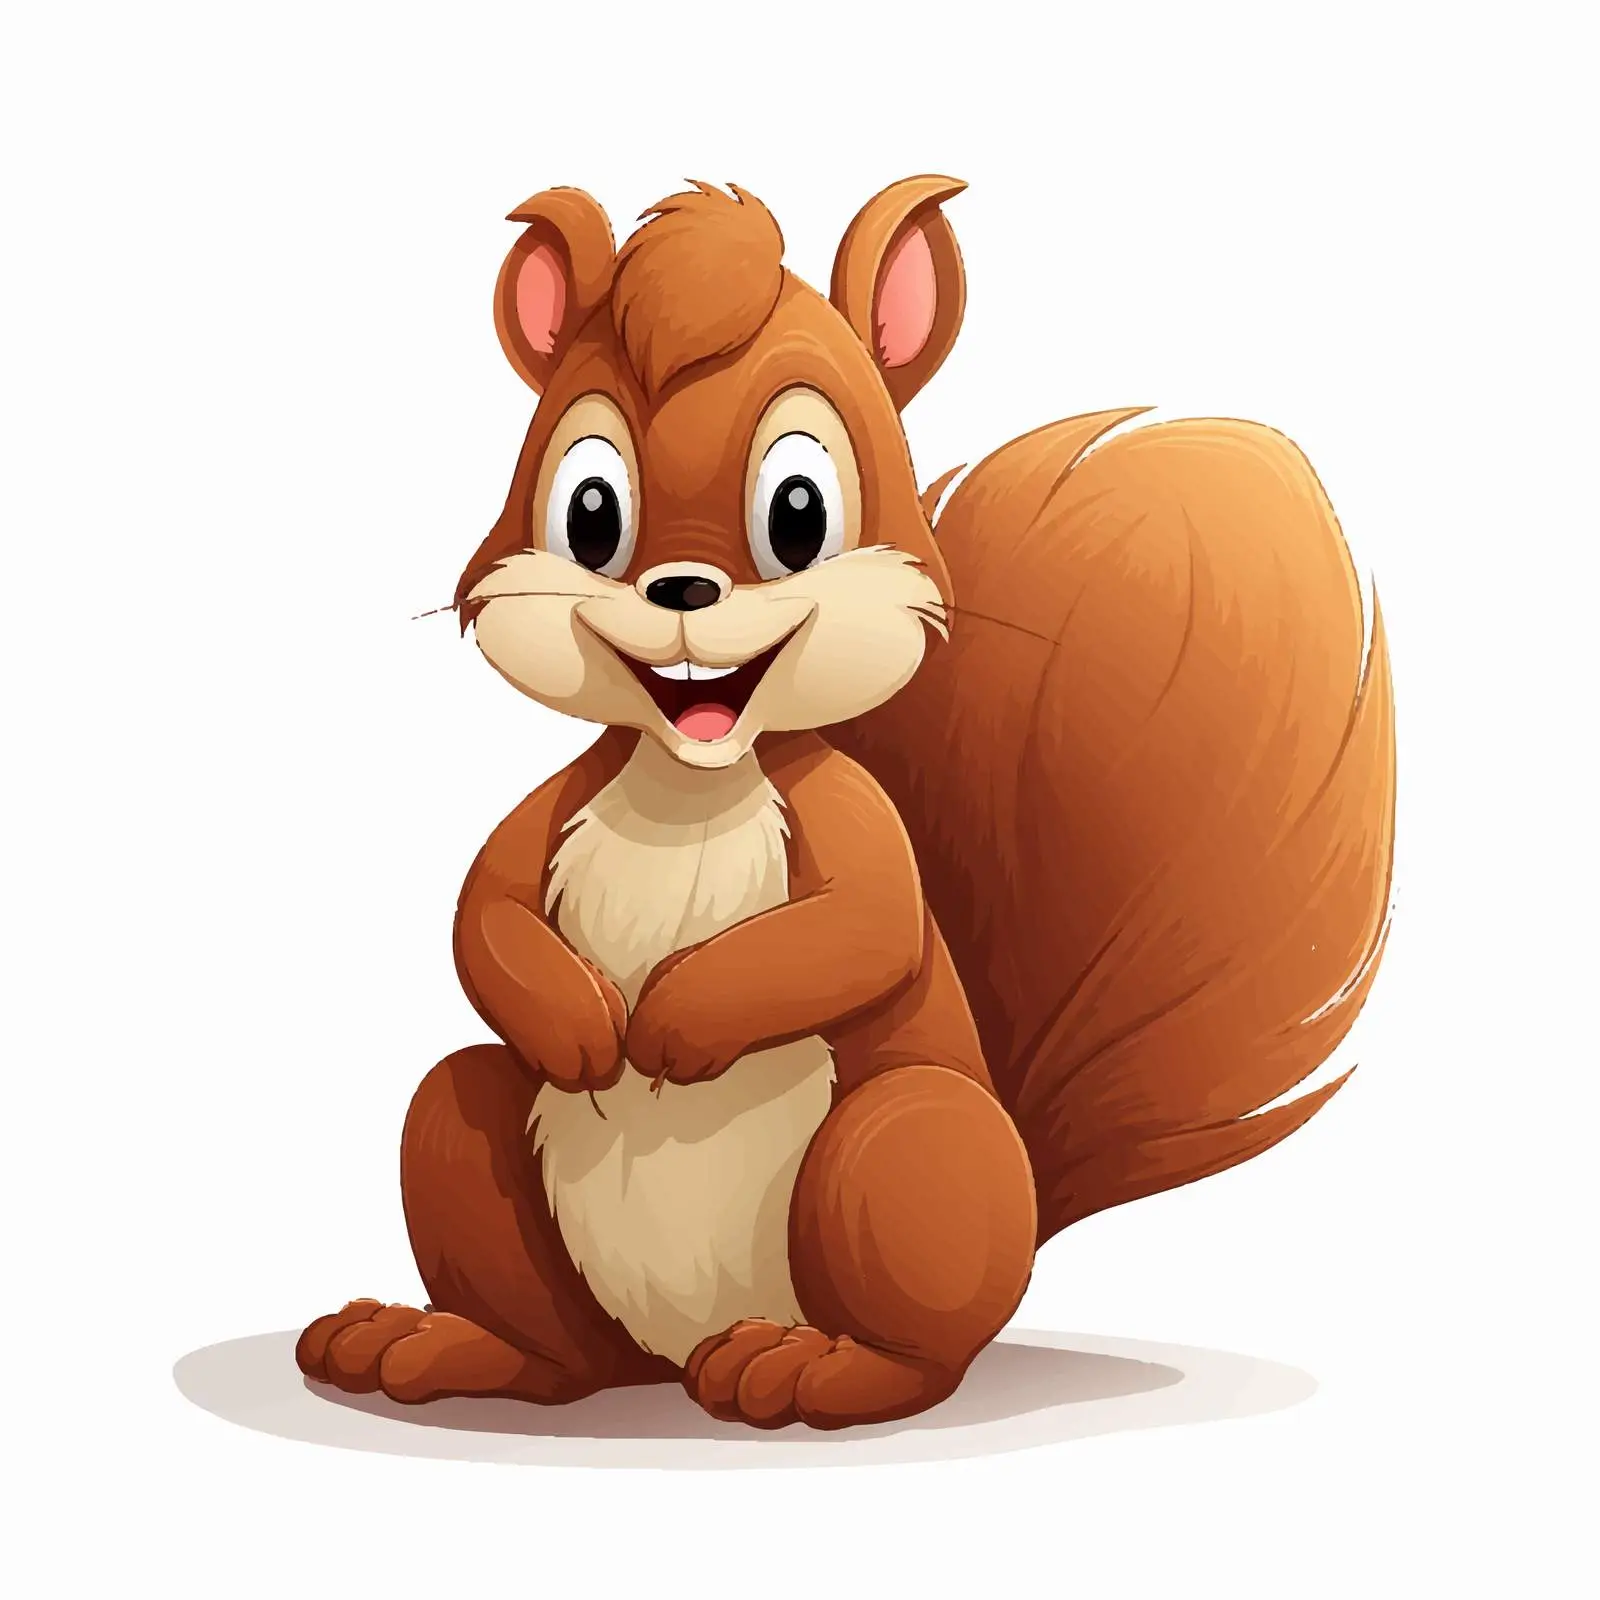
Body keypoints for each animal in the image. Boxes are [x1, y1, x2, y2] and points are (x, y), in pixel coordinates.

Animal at [295, 176, 1395, 1431]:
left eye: (799, 510)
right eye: (587, 509)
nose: (681, 588)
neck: (690, 772)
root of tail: (671, 1355)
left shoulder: (853, 820)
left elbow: (862, 929)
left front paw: (674, 1024)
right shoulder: (554, 805)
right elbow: (481, 915)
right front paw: (581, 1027)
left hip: (899, 1149)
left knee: (920, 1352)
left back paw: (809, 1366)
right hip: (476, 1149)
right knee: (541, 1312)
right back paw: (436, 1343)